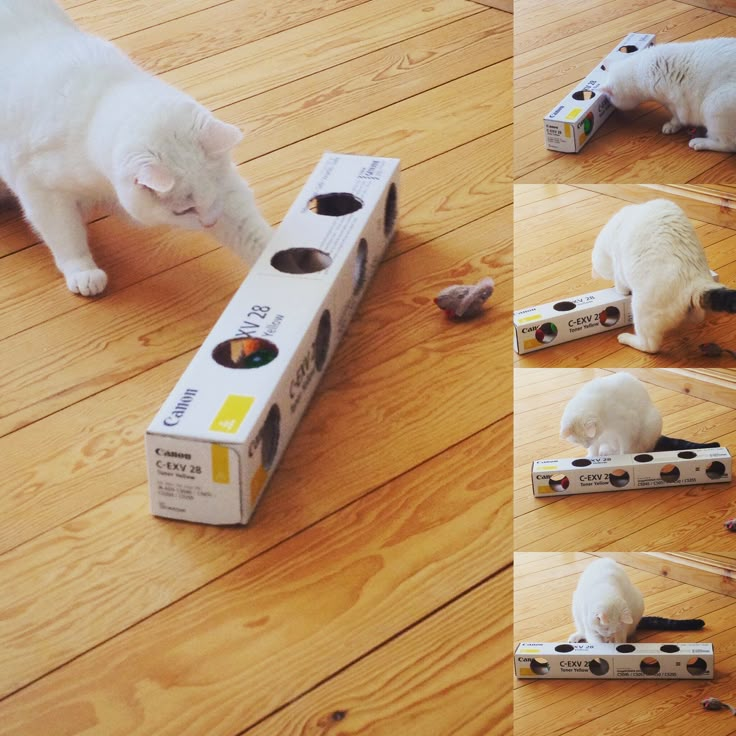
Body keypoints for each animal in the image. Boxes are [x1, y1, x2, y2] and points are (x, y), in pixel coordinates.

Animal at [0, 3, 270, 296]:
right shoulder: (39, 191)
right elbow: (65, 234)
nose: (209, 223)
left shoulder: (228, 200)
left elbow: (251, 232)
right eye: (184, 211)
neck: (101, 103)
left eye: (216, 195)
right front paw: (83, 272)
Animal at [592, 198, 736, 354]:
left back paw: (627, 338)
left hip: (641, 308)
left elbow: (620, 286)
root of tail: (696, 283)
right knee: (697, 317)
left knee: (650, 346)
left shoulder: (619, 268)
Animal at [600, 38, 736, 152]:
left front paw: (672, 125)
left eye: (609, 99)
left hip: (714, 105)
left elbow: (678, 117)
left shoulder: (675, 101)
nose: (609, 103)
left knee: (728, 145)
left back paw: (699, 142)